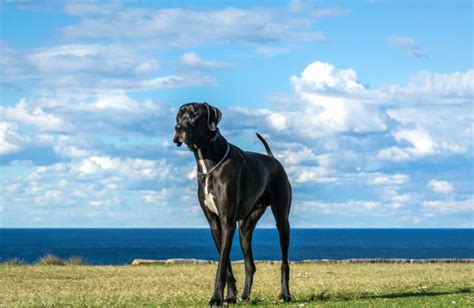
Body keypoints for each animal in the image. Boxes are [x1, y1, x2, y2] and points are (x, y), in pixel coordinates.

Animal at [174, 102, 292, 304]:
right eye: (179, 115)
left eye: (195, 114)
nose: (178, 128)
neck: (208, 161)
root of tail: (272, 159)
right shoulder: (216, 224)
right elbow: (226, 263)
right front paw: (229, 296)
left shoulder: (227, 221)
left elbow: (221, 265)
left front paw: (216, 298)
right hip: (245, 228)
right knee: (250, 264)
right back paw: (245, 296)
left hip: (282, 221)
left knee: (284, 262)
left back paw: (285, 294)